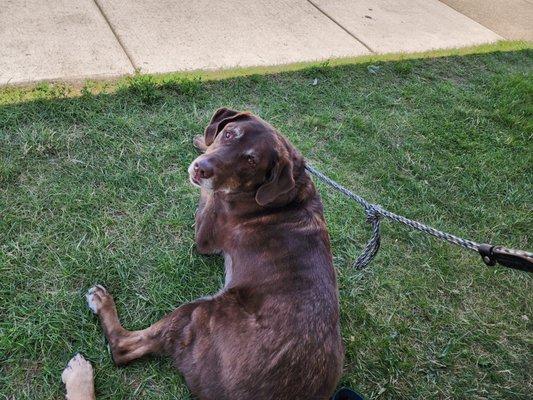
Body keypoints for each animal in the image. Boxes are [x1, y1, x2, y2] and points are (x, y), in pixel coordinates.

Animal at [86, 108, 344, 400]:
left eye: (251, 160)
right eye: (230, 134)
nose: (201, 168)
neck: (285, 192)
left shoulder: (206, 230)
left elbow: (207, 195)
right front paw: (204, 138)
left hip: (199, 311)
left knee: (124, 348)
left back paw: (101, 302)